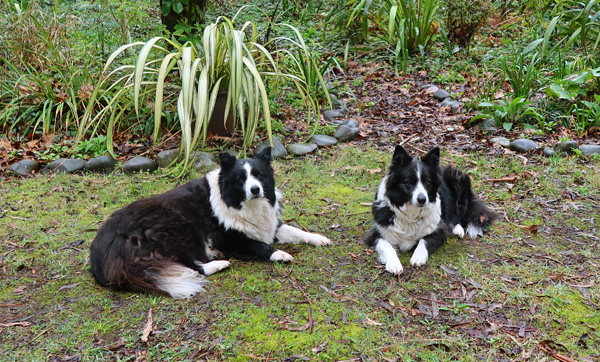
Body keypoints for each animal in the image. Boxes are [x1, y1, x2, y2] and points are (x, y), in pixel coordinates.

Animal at [89, 147, 330, 296]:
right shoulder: (230, 241)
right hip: (179, 226)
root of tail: (101, 256)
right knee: (192, 265)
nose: (255, 189)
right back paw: (218, 264)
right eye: (241, 179)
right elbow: (260, 246)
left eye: (259, 175)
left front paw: (318, 238)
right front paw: (280, 254)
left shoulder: (271, 226)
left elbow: (296, 231)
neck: (238, 202)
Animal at [364, 146, 494, 272]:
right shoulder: (375, 233)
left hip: (458, 180)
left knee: (458, 215)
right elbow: (387, 246)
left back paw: (457, 229)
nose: (422, 199)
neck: (411, 214)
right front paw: (394, 264)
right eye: (408, 182)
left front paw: (418, 256)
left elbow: (424, 240)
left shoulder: (440, 230)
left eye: (427, 182)